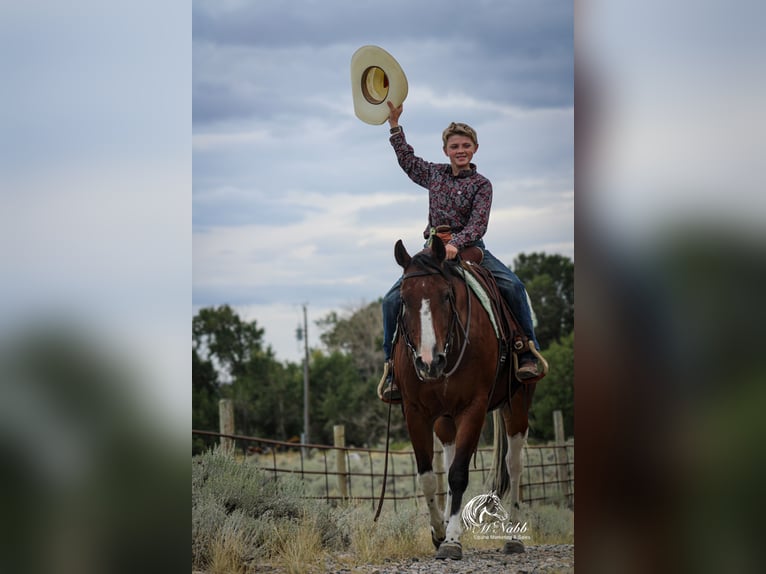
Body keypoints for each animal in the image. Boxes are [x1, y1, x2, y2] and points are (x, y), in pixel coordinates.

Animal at [391, 237, 538, 560]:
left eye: (447, 296)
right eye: (404, 300)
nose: (428, 362)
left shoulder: (474, 408)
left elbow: (458, 474)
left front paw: (452, 541)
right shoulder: (415, 411)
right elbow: (428, 476)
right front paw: (439, 532)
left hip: (517, 405)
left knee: (514, 464)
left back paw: (513, 537)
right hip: (445, 418)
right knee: (448, 458)